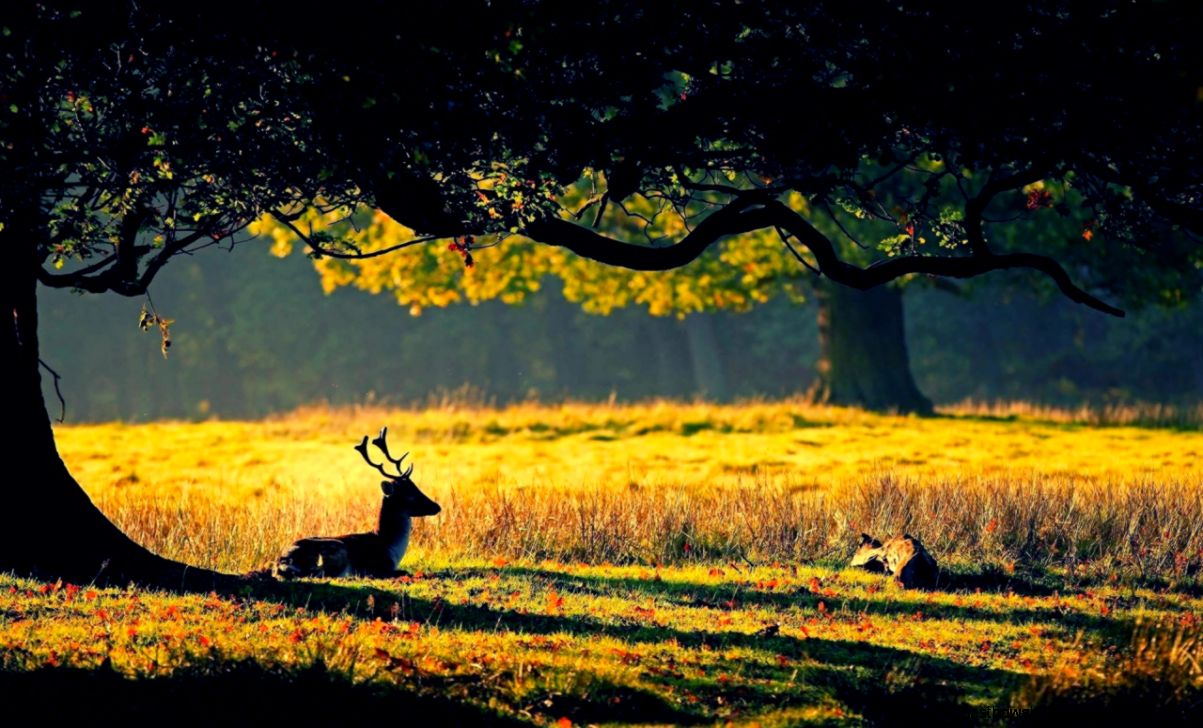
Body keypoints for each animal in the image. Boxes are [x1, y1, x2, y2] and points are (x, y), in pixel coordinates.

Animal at [273, 427, 440, 579]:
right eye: (410, 494)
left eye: (415, 487)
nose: (437, 506)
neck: (390, 548)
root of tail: (282, 562)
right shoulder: (380, 566)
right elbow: (405, 572)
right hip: (336, 550)